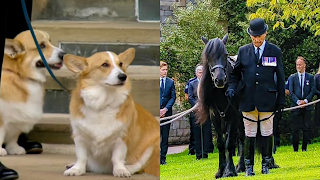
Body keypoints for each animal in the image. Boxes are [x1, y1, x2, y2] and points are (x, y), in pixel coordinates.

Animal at [63, 47, 160, 177]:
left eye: (121, 64)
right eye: (105, 64)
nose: (123, 76)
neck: (103, 103)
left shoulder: (121, 139)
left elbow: (117, 158)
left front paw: (120, 170)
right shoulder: (79, 136)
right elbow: (81, 157)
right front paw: (76, 169)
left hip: (154, 146)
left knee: (139, 166)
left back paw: (127, 168)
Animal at [196, 34, 244, 179]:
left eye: (225, 54)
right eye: (208, 56)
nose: (220, 79)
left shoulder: (233, 115)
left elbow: (229, 143)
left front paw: (230, 170)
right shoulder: (215, 116)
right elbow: (221, 143)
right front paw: (220, 170)